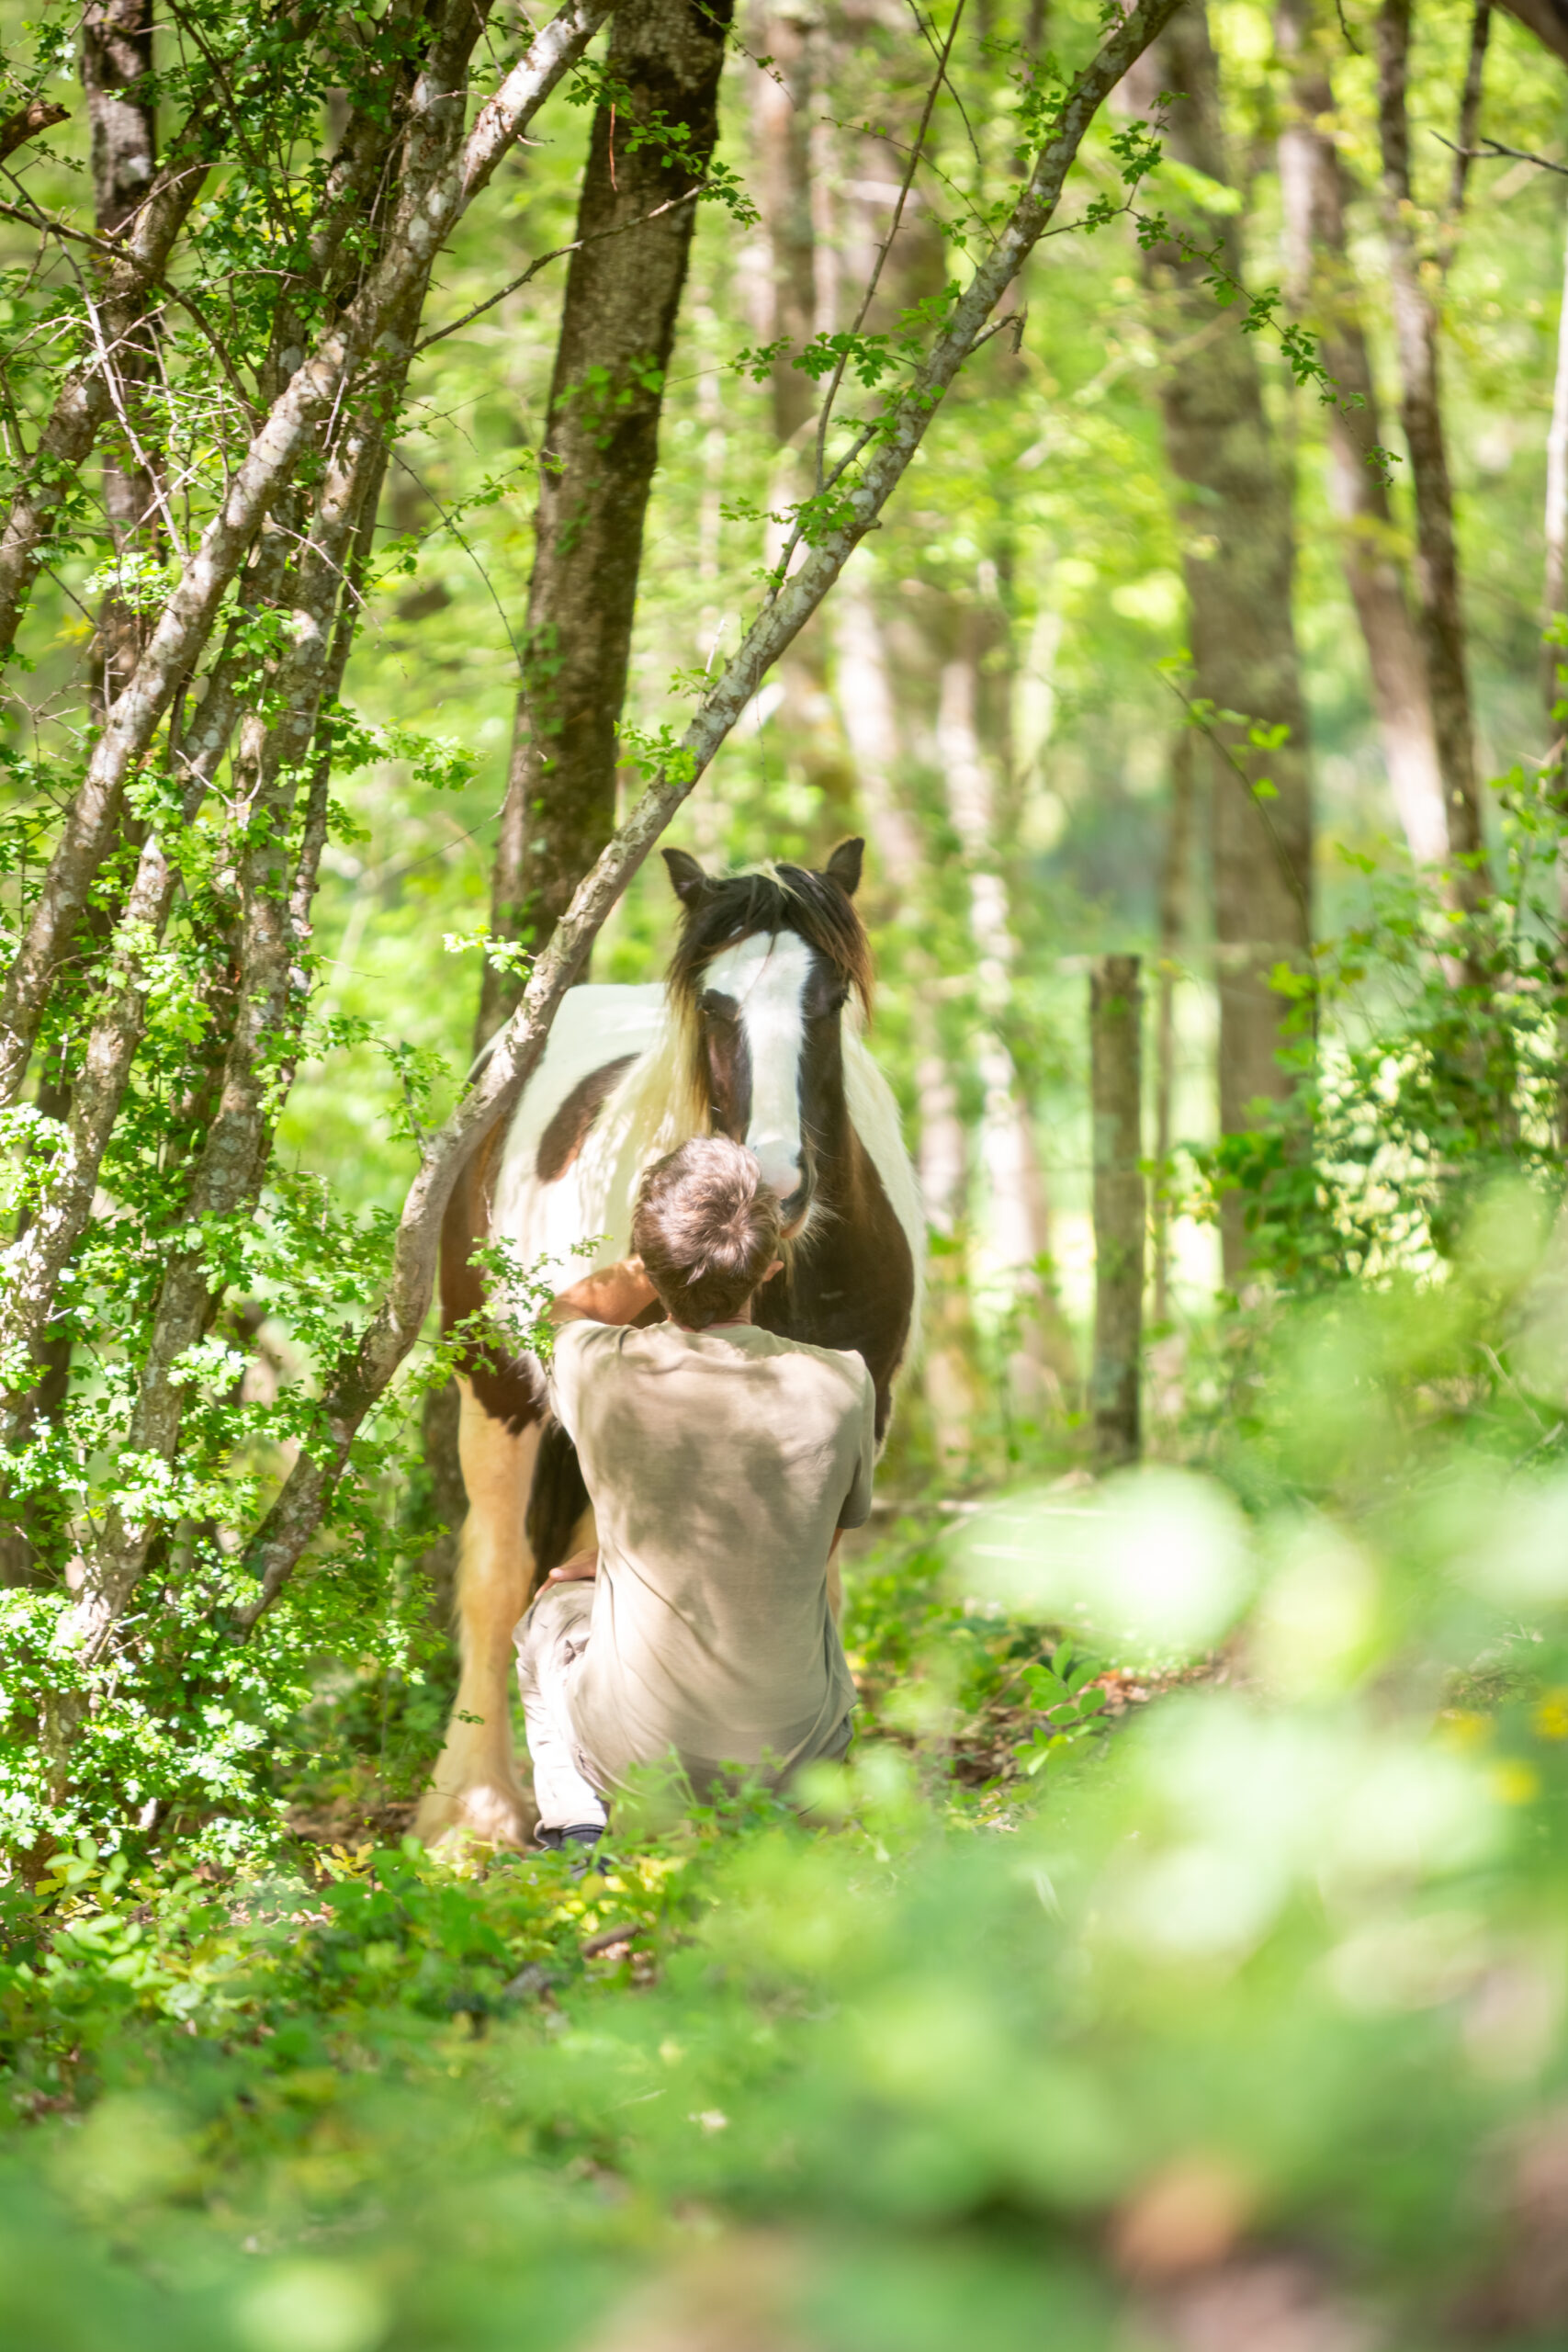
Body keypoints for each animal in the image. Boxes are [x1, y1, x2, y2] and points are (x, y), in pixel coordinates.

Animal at [414, 835, 923, 1849]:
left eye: (828, 1001)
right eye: (716, 1005)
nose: (772, 1185)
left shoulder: (867, 1411)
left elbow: (822, 1586)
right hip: (496, 1392)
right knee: (495, 1580)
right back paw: (475, 1808)